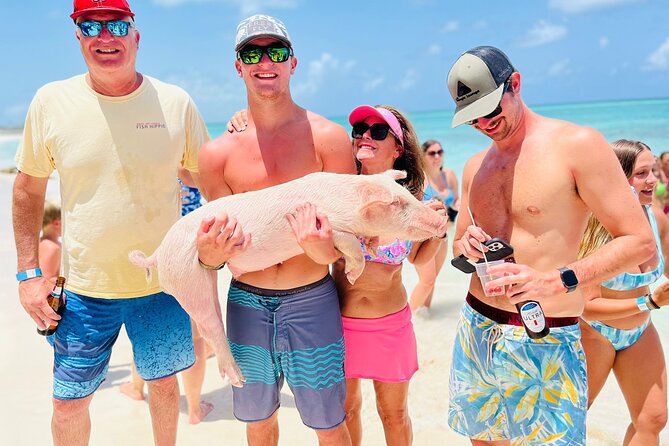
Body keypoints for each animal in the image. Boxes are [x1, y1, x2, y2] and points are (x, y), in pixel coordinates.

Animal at [129, 169, 448, 387]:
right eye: (397, 204)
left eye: (407, 196)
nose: (442, 219)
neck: (344, 200)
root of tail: (158, 253)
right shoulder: (329, 224)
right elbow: (349, 242)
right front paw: (353, 274)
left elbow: (360, 242)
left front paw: (370, 245)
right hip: (184, 277)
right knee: (209, 324)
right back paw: (239, 380)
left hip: (198, 279)